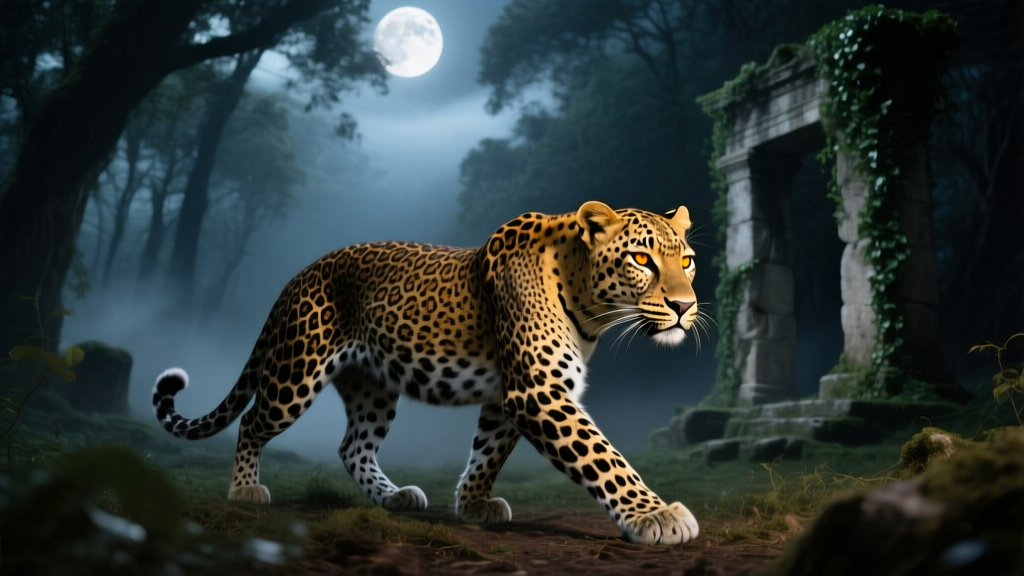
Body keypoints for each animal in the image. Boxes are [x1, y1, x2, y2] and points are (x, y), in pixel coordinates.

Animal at [152, 200, 703, 545]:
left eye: (688, 262)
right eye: (641, 259)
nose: (684, 307)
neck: (586, 298)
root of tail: (298, 275)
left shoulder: (508, 395)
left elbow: (487, 452)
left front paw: (473, 504)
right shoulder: (538, 391)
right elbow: (604, 458)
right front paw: (656, 515)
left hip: (372, 386)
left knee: (352, 446)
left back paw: (395, 497)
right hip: (297, 371)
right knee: (252, 421)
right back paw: (244, 490)